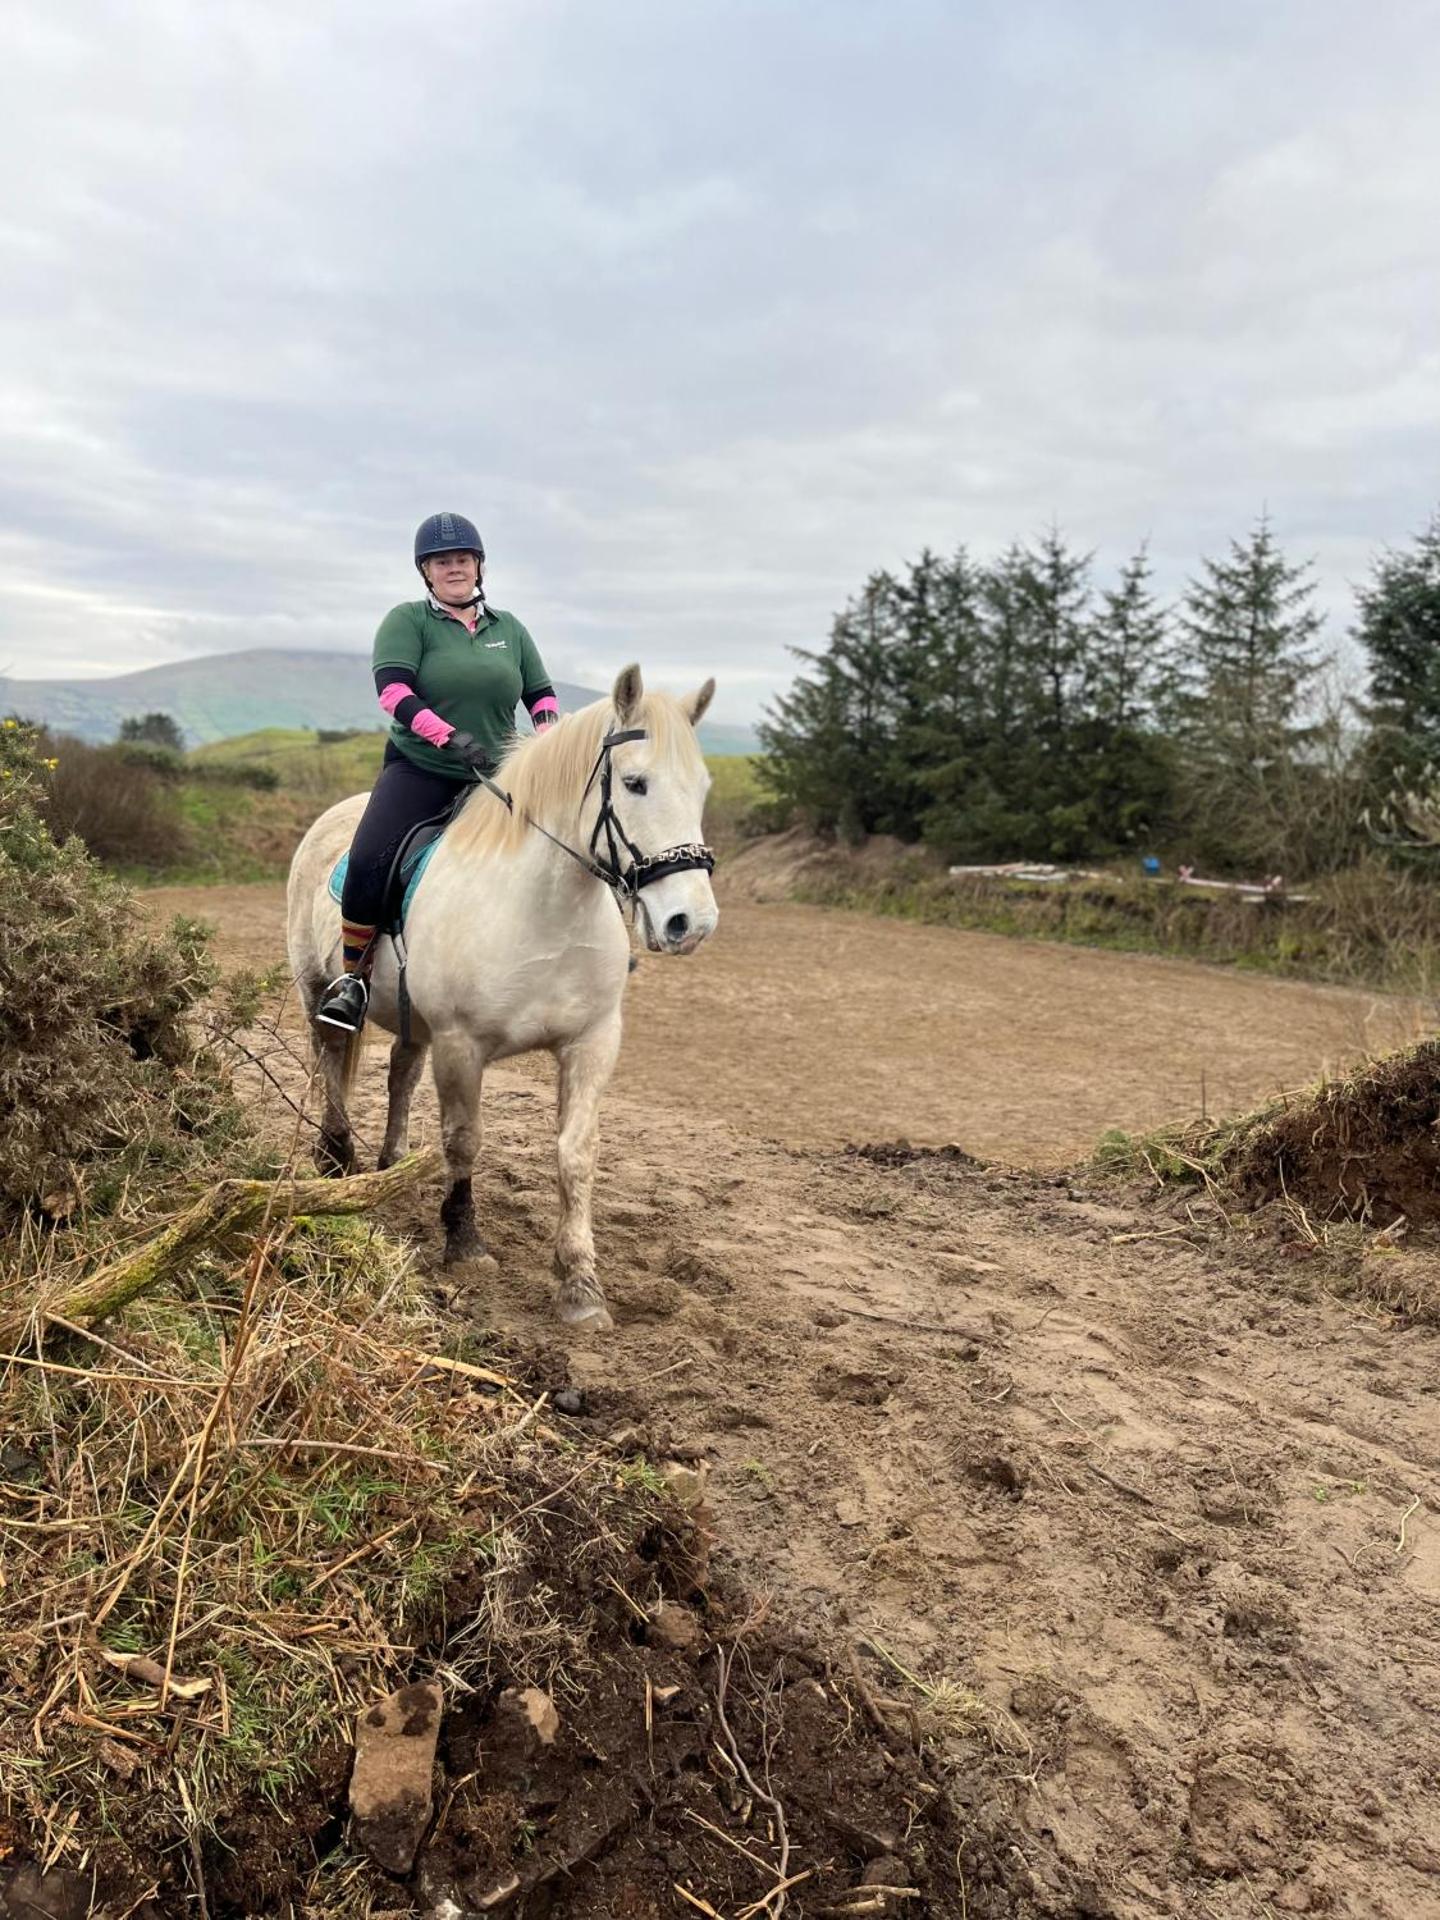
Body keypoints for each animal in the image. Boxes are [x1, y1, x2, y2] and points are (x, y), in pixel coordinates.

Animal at [285, 665, 719, 1333]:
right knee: (328, 1056)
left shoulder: (592, 1043)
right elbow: (464, 1138)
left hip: (415, 1024)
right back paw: (335, 1159)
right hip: (316, 988)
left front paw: (580, 1284)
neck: (545, 910)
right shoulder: (462, 1044)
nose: (689, 923)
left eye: (701, 789)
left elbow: (576, 1154)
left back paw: (392, 1165)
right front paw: (465, 1244)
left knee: (401, 1073)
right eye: (635, 783)